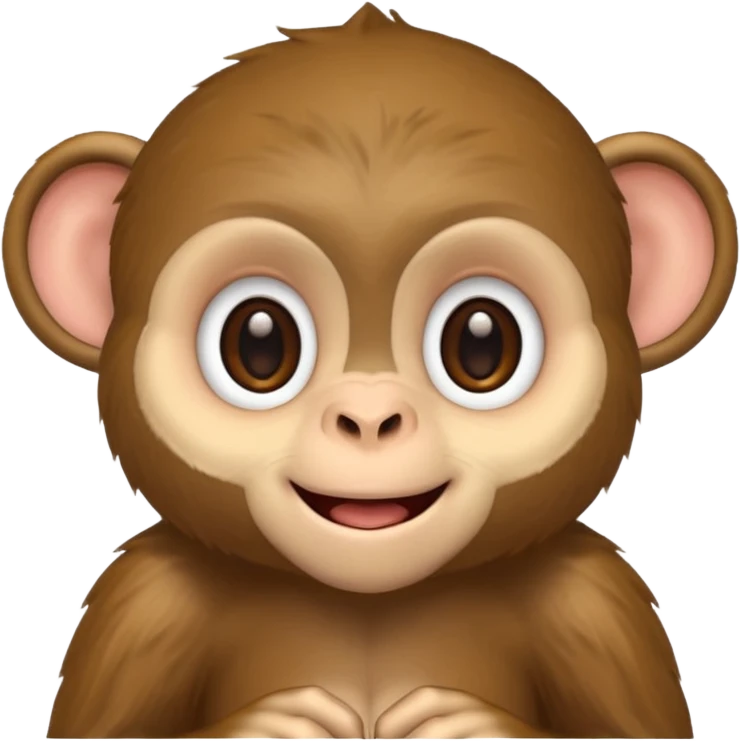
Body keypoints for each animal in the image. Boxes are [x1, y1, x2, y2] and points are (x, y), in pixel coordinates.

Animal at [2, 4, 737, 740]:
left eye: (481, 343)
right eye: (259, 343)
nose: (368, 416)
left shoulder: (595, 606)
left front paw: (466, 723)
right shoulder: (145, 605)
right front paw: (273, 724)